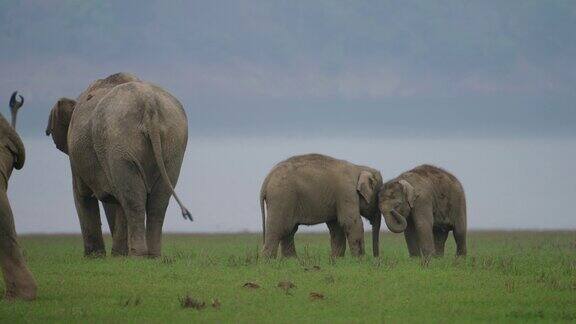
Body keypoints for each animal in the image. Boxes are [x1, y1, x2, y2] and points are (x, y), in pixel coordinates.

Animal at [46, 72, 192, 256]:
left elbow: (83, 194)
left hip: (119, 142)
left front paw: (97, 257)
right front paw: (115, 256)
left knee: (130, 198)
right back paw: (152, 256)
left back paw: (137, 255)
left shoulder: (77, 156)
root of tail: (149, 103)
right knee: (157, 201)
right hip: (173, 144)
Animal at [262, 154, 392, 258]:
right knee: (277, 229)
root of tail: (267, 179)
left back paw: (291, 261)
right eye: (379, 197)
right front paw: (360, 260)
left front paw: (336, 260)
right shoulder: (346, 192)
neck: (359, 168)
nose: (376, 259)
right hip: (281, 198)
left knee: (289, 230)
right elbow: (351, 222)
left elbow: (337, 227)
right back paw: (269, 261)